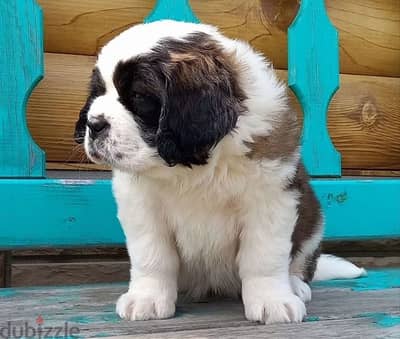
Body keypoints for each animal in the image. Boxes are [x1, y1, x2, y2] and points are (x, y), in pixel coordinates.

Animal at [73, 19, 364, 326]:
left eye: (138, 96)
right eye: (97, 93)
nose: (93, 124)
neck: (191, 166)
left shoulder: (270, 199)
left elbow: (264, 256)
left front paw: (272, 300)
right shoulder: (141, 205)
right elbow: (152, 255)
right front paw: (147, 298)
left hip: (313, 222)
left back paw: (295, 285)